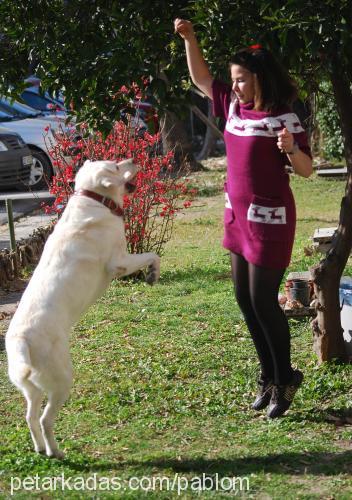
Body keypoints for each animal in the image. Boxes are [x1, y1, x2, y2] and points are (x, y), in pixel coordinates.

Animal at [5, 159, 160, 458]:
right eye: (116, 166)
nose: (134, 160)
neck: (94, 199)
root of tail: (21, 341)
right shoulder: (120, 262)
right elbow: (152, 255)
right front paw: (152, 274)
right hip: (61, 380)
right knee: (45, 419)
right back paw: (56, 452)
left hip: (31, 387)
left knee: (30, 417)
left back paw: (40, 448)